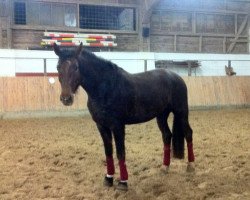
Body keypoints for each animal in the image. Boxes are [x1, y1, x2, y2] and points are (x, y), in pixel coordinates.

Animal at [53, 43, 194, 191]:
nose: (66, 98)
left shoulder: (117, 126)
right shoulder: (101, 126)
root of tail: (176, 76)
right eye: (58, 67)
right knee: (167, 135)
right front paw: (108, 178)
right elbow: (108, 152)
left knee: (188, 133)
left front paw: (123, 182)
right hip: (161, 116)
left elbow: (120, 152)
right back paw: (165, 167)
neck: (105, 88)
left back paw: (191, 165)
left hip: (181, 112)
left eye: (75, 67)